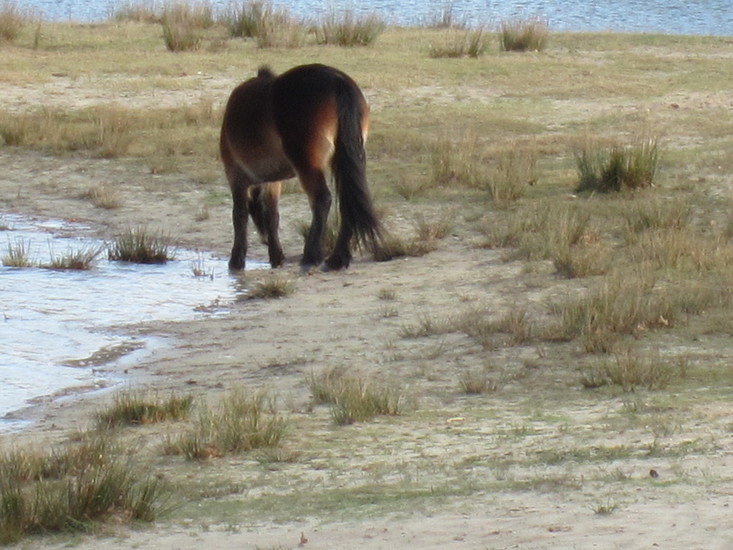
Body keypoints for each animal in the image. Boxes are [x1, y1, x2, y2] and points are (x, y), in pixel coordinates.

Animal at [219, 63, 381, 272]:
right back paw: (337, 259)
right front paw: (277, 257)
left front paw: (236, 261)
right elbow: (272, 215)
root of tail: (338, 81)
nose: (264, 240)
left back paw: (311, 256)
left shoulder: (237, 178)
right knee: (349, 203)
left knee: (322, 199)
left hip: (306, 164)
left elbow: (239, 216)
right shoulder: (273, 182)